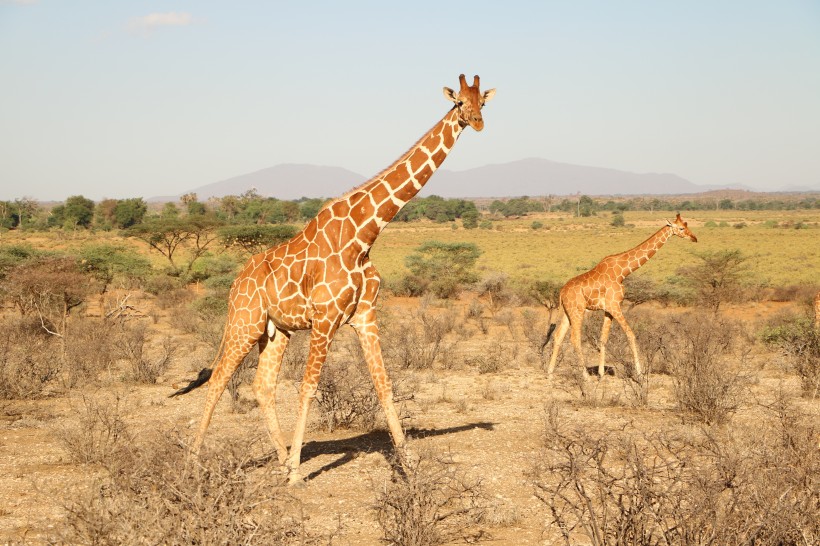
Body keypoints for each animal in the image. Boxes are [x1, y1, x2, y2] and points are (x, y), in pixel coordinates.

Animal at [172, 74, 494, 482]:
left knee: (262, 387)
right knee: (217, 382)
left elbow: (385, 386)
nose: (478, 123)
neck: (364, 234)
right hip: (245, 322)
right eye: (459, 103)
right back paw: (193, 463)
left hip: (275, 331)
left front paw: (409, 465)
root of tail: (234, 284)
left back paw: (280, 457)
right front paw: (297, 473)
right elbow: (308, 389)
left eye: (482, 103)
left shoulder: (365, 316)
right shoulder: (325, 319)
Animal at [540, 212, 700, 382]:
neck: (623, 271)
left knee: (558, 336)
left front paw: (601, 374)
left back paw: (550, 373)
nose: (694, 238)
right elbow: (631, 335)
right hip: (578, 311)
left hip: (567, 311)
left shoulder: (608, 310)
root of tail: (561, 292)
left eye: (687, 224)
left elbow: (603, 339)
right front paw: (639, 374)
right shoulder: (615, 306)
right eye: (681, 228)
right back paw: (585, 376)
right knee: (574, 339)